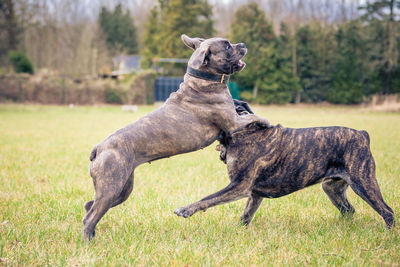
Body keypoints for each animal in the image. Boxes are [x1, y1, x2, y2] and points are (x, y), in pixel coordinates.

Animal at [83, 34, 268, 241]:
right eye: (227, 46)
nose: (242, 44)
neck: (201, 79)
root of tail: (99, 148)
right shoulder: (233, 122)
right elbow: (253, 117)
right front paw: (266, 122)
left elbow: (245, 107)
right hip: (111, 188)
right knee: (90, 217)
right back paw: (88, 242)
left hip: (122, 190)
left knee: (89, 207)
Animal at [175, 122, 394, 229]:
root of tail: (362, 134)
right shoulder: (254, 195)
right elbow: (246, 216)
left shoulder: (238, 187)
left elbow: (208, 198)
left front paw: (186, 209)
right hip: (332, 188)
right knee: (349, 210)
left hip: (363, 183)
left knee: (387, 211)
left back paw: (388, 233)